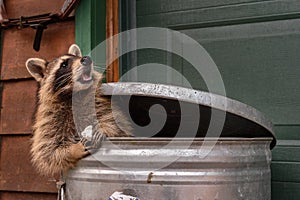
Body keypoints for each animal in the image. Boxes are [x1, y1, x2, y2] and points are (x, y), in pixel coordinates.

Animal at [26, 44, 132, 176]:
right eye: (64, 64)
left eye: (78, 57)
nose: (86, 59)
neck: (75, 93)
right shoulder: (49, 118)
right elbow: (47, 151)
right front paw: (73, 150)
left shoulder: (98, 104)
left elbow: (116, 124)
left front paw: (103, 128)